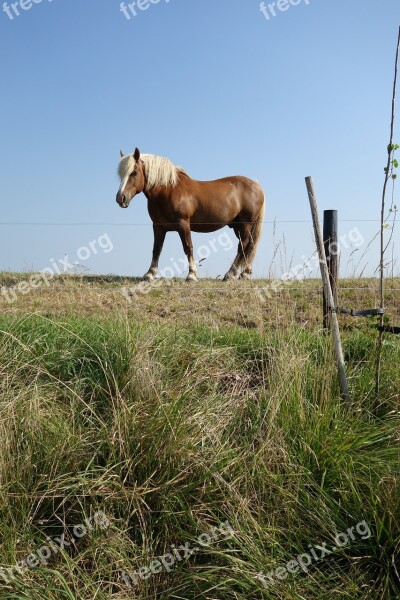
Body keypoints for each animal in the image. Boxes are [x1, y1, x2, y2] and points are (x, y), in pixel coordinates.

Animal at [115, 149, 266, 282]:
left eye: (134, 173)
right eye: (121, 175)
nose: (120, 198)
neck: (169, 190)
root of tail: (257, 186)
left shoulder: (183, 224)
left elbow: (188, 247)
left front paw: (192, 275)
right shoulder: (158, 227)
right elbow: (156, 249)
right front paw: (150, 274)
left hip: (245, 224)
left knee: (243, 245)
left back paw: (230, 274)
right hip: (237, 226)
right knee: (249, 246)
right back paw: (244, 274)